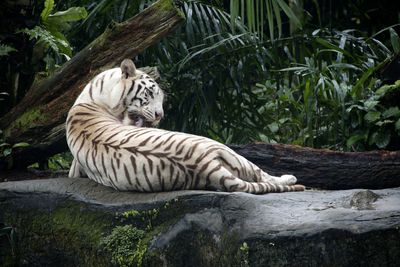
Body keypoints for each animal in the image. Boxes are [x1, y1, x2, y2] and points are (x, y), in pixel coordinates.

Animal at [65, 58, 304, 194]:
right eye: (150, 93)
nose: (160, 115)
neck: (98, 94)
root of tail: (203, 164)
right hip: (225, 150)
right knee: (261, 174)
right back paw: (290, 177)